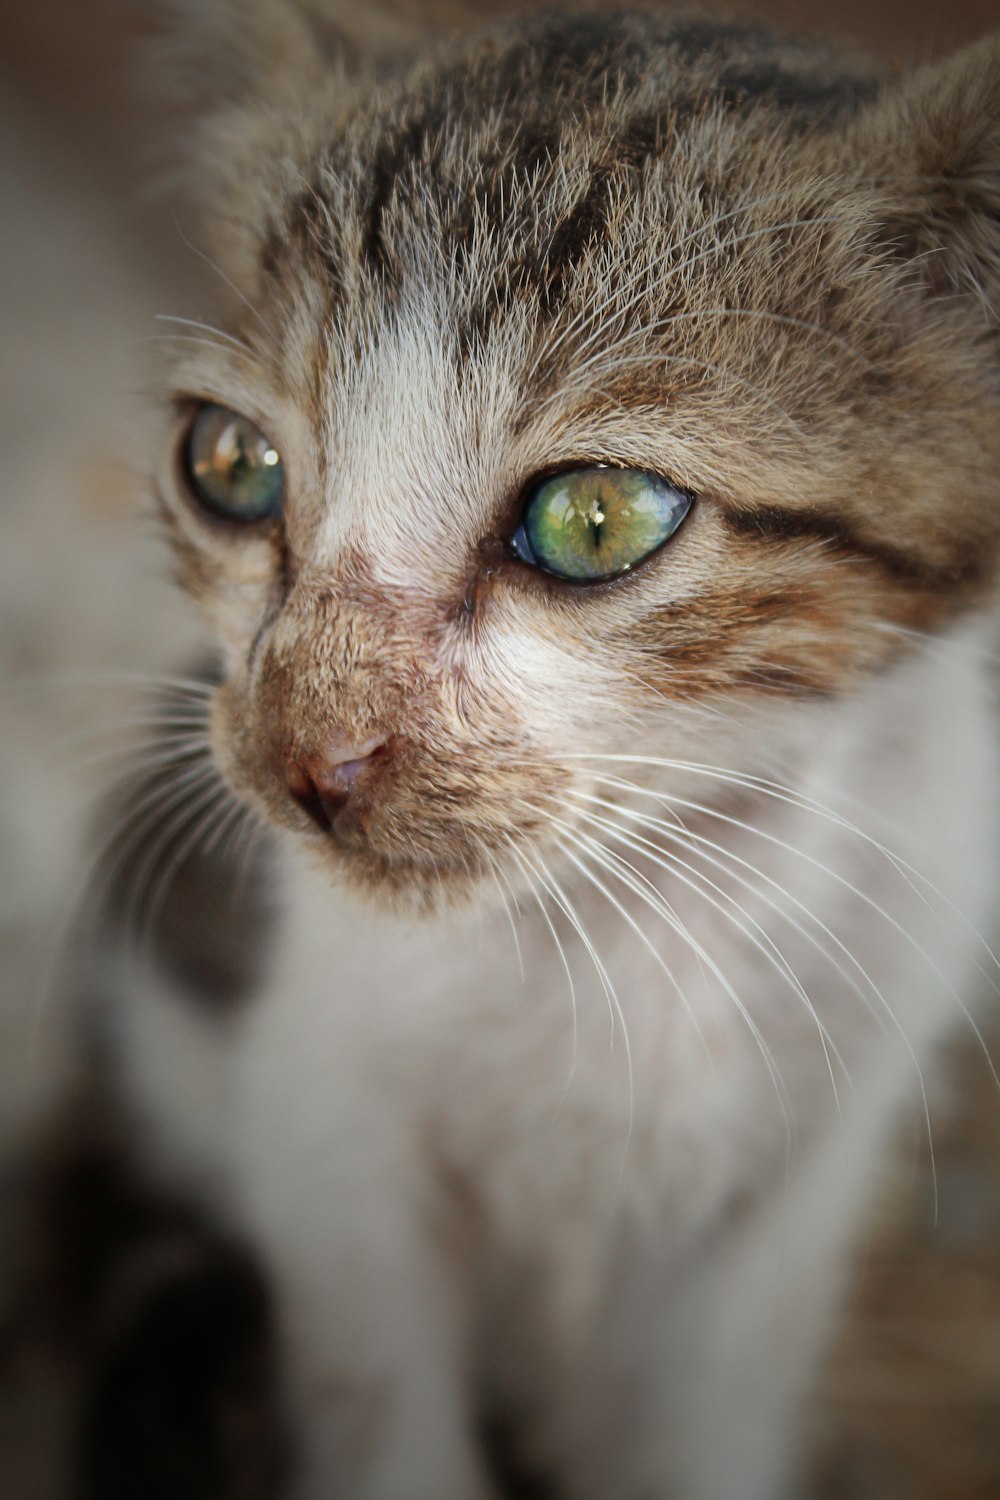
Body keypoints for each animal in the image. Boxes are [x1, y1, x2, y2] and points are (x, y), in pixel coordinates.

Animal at [60, 8, 1000, 1500]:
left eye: (594, 518)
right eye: (231, 463)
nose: (305, 759)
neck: (645, 918)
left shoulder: (800, 1168)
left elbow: (699, 1423)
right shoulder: (319, 1118)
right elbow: (382, 1408)